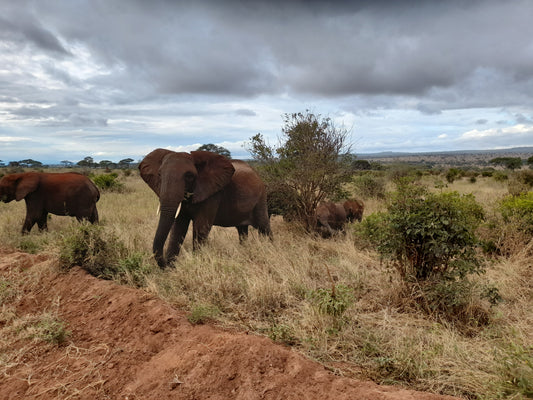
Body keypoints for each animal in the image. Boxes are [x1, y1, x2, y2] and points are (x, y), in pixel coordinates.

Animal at [139, 148, 272, 268]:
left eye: (189, 176)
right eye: (159, 175)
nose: (166, 264)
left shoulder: (213, 194)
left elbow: (201, 228)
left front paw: (195, 264)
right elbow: (178, 229)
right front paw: (171, 269)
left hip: (261, 197)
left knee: (264, 226)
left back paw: (270, 247)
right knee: (242, 230)